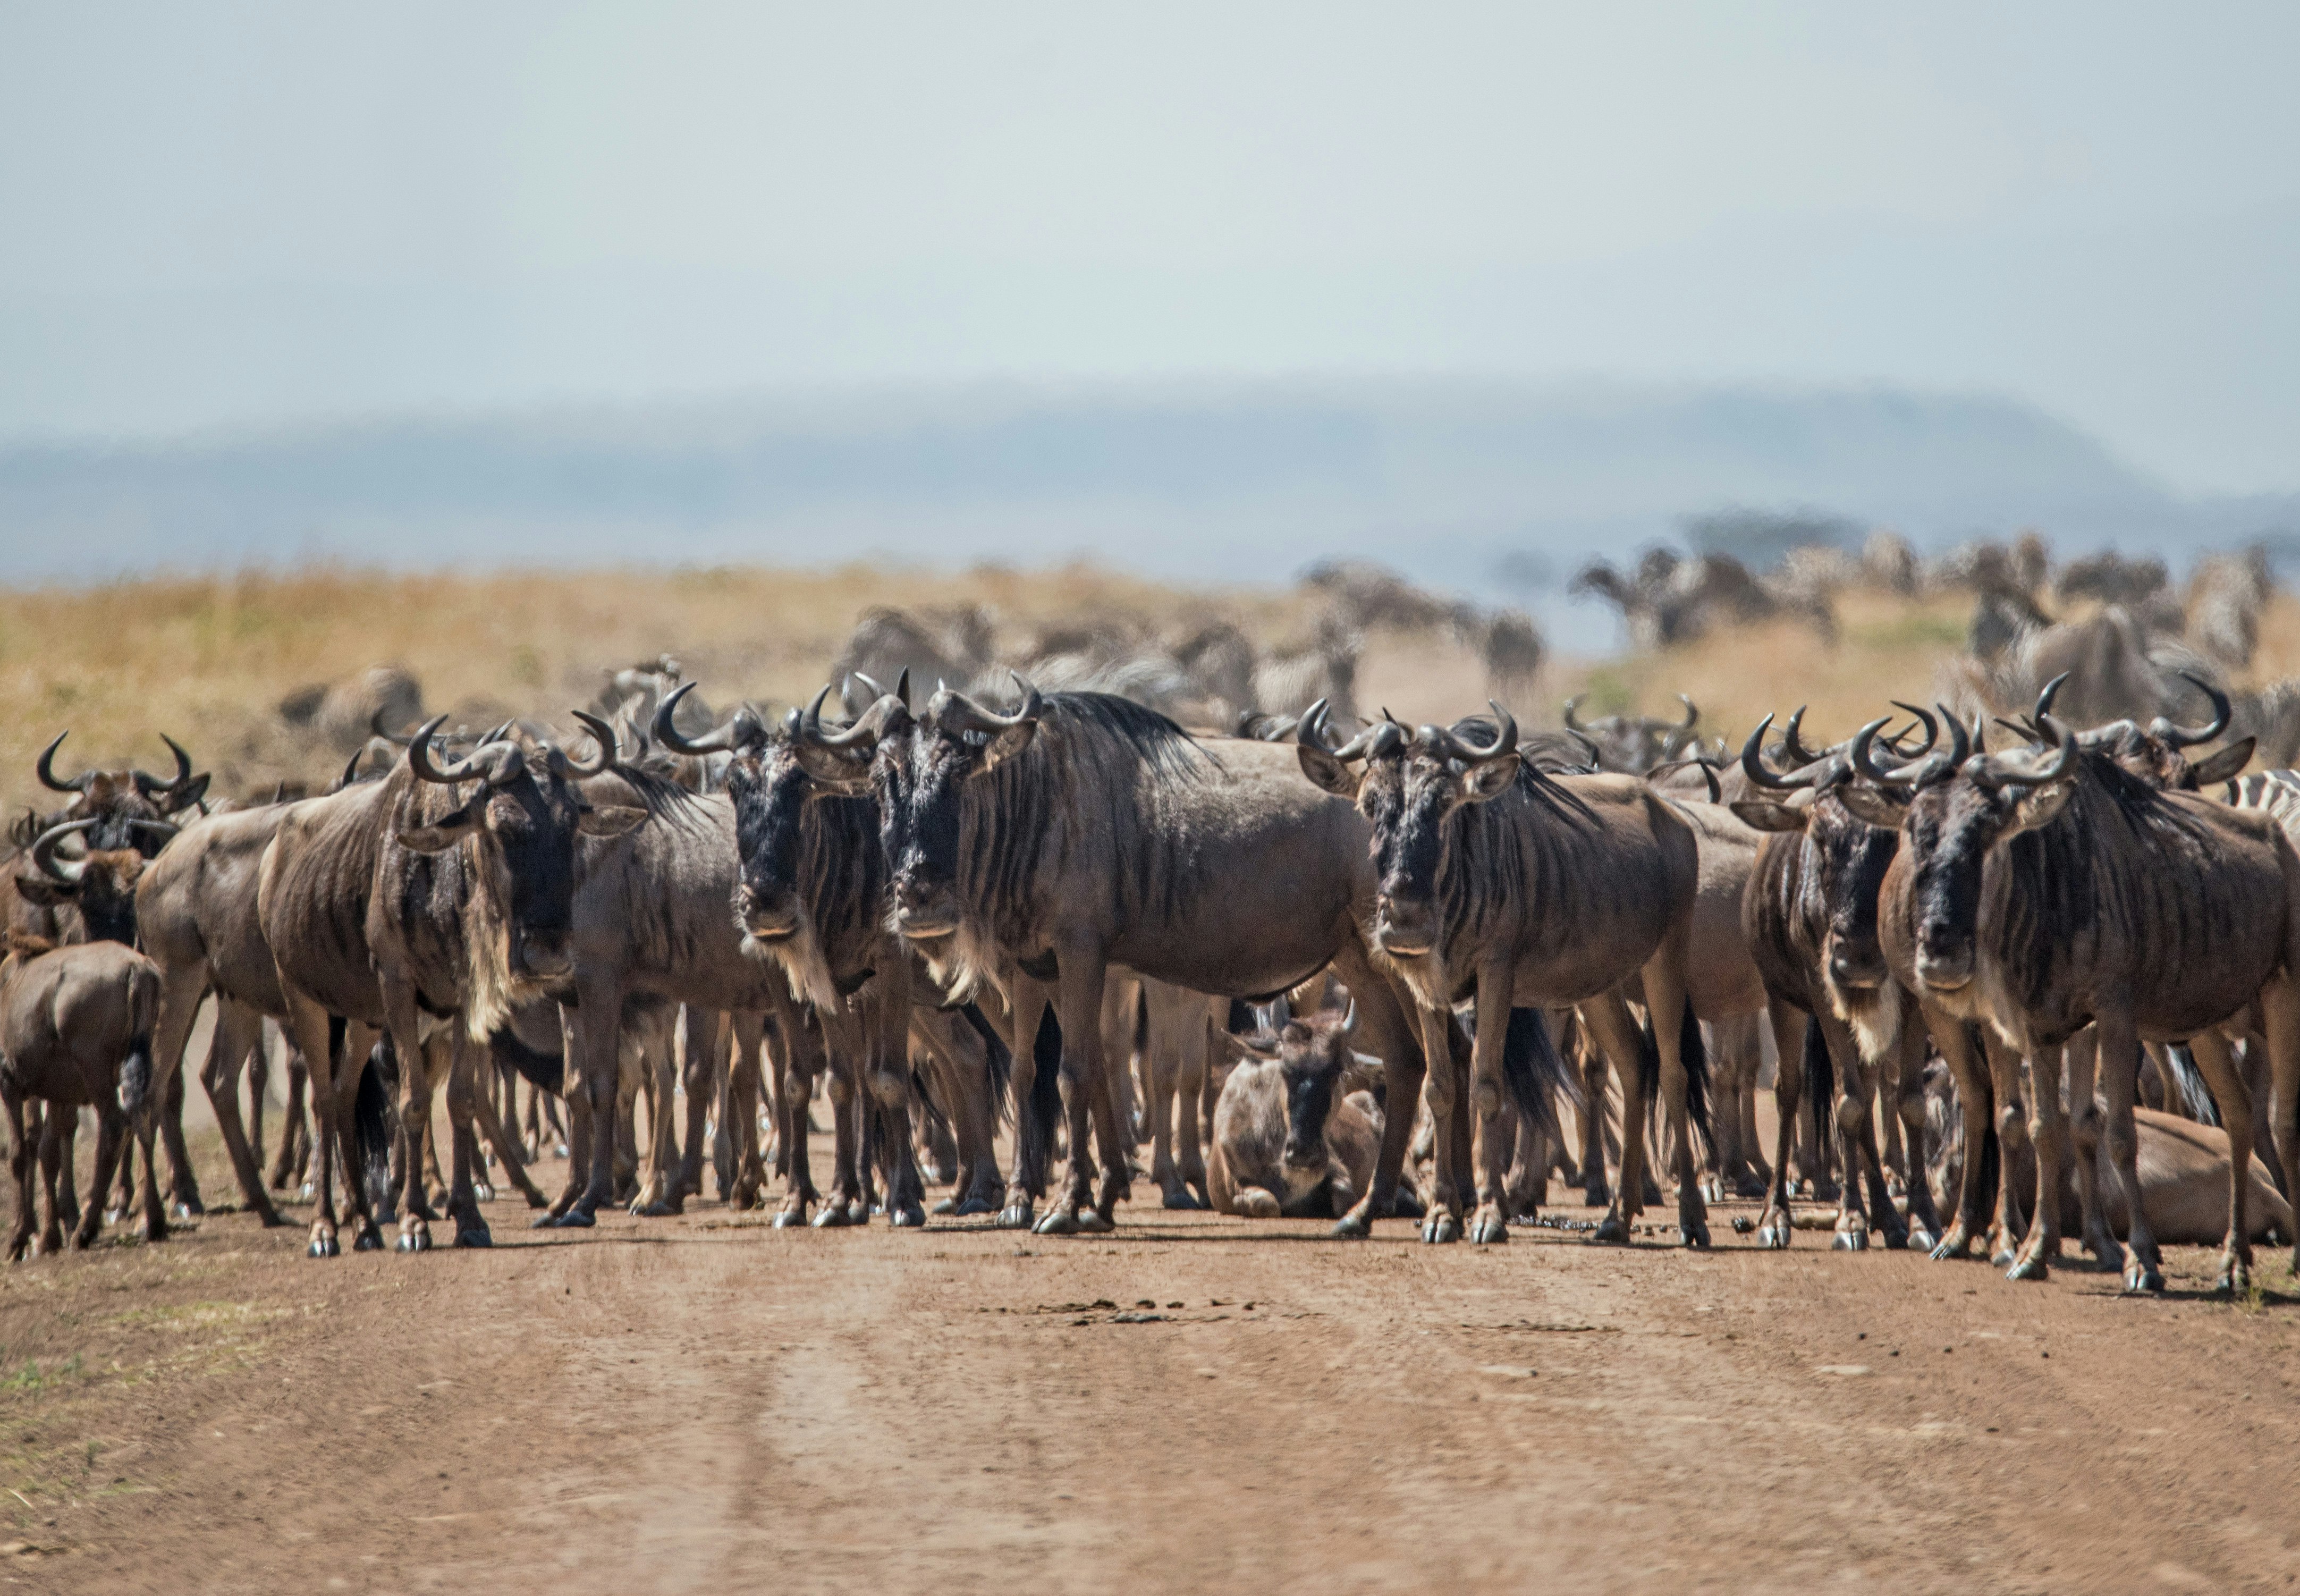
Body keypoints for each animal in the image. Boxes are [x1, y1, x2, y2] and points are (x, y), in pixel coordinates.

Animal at [0, 933, 162, 1260]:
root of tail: (136, 969)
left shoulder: (9, 1085)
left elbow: (19, 1154)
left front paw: (19, 1239)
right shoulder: (60, 1093)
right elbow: (49, 1152)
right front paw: (48, 1238)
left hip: (96, 1073)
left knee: (114, 1127)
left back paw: (85, 1231)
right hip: (137, 1063)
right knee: (143, 1117)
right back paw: (153, 1221)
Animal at [1205, 1011, 1417, 1223]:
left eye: (1338, 1071)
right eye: (1284, 1070)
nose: (1303, 1153)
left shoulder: (1336, 1170)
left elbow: (1344, 1199)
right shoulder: (1237, 1185)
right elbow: (1266, 1204)